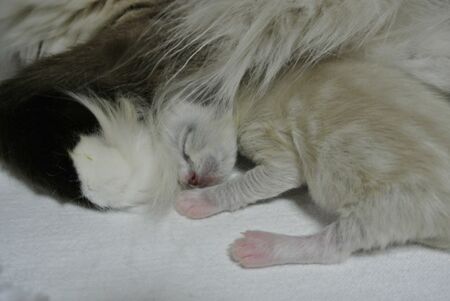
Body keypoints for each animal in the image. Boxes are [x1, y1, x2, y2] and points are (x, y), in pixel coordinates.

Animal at [175, 59, 450, 268]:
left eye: (185, 146)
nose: (189, 180)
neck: (247, 87)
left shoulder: (264, 131)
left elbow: (273, 175)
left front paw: (200, 199)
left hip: (394, 203)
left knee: (333, 247)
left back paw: (259, 246)